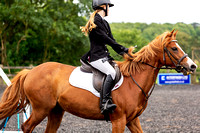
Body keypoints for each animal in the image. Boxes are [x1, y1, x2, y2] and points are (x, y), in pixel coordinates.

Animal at [0, 29, 197, 132]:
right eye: (174, 48)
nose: (193, 66)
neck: (133, 81)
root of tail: (31, 72)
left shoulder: (133, 120)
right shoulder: (119, 120)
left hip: (55, 111)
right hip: (42, 108)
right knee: (26, 126)